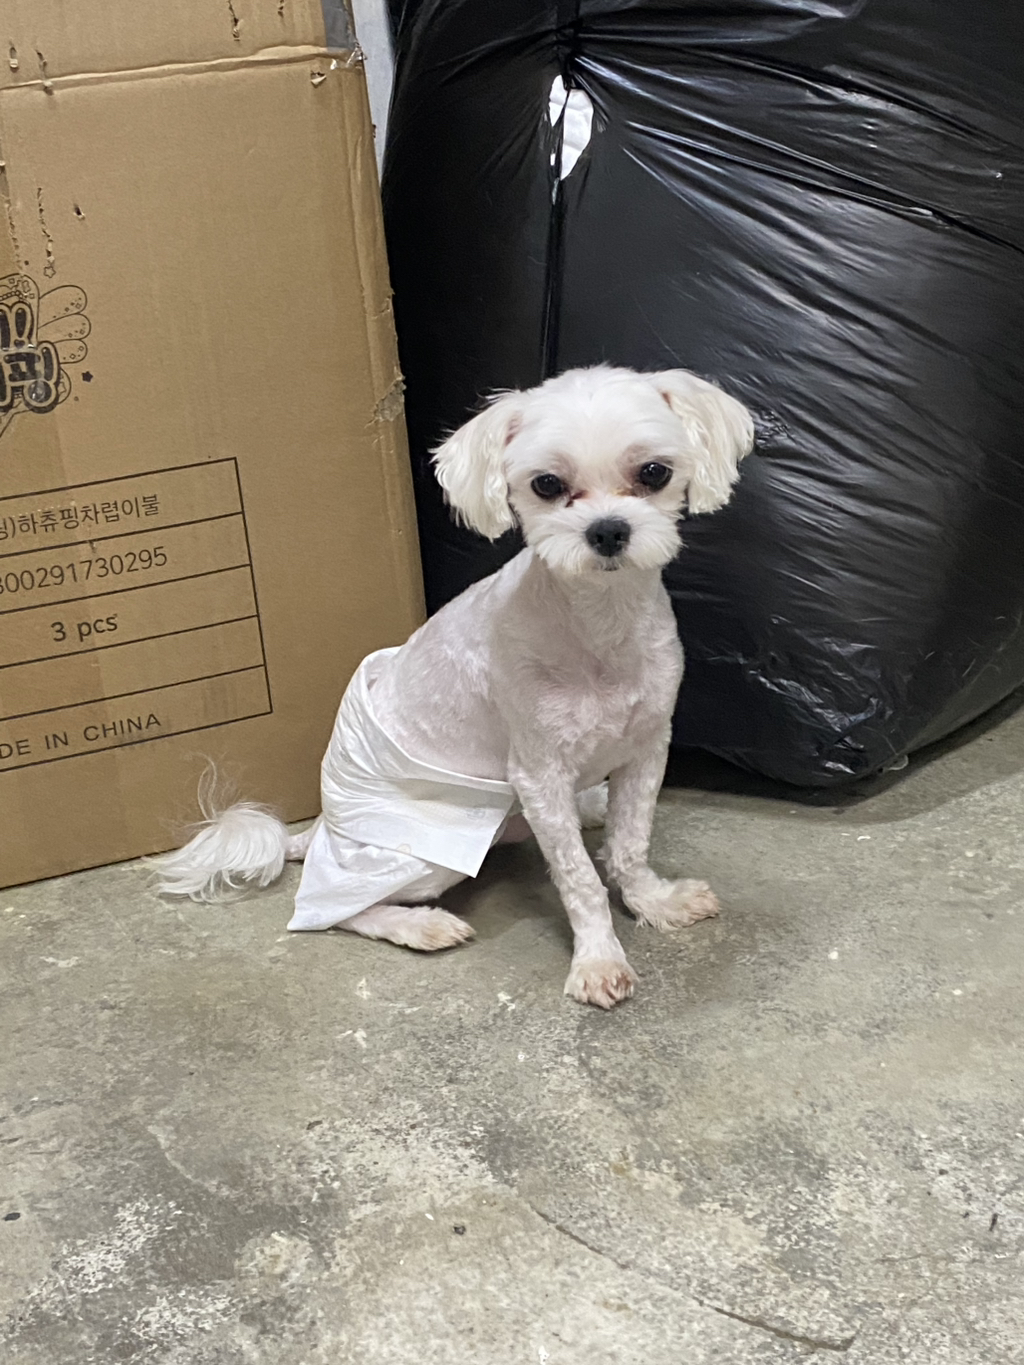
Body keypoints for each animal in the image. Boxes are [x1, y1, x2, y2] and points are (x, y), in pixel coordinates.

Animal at [153, 365, 753, 1008]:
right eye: (547, 484)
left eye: (654, 473)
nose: (608, 531)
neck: (598, 627)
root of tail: (320, 829)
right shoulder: (538, 774)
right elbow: (580, 878)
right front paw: (598, 957)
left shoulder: (646, 748)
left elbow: (629, 847)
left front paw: (654, 902)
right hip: (422, 859)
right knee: (332, 909)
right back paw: (419, 926)